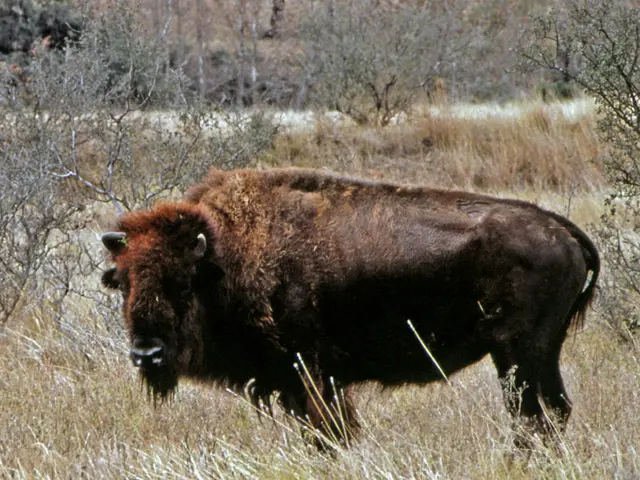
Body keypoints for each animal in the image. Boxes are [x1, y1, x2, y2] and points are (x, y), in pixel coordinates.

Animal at [101, 168, 599, 448]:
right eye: (122, 283)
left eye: (183, 284)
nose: (147, 354)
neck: (226, 256)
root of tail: (561, 229)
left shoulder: (312, 374)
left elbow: (329, 433)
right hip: (540, 354)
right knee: (554, 411)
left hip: (516, 354)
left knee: (533, 417)